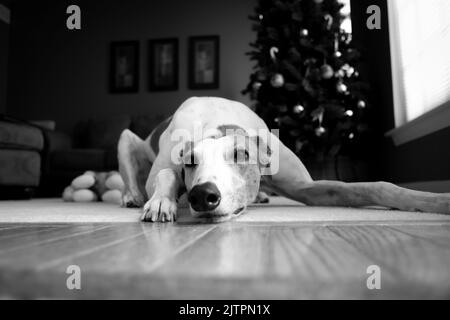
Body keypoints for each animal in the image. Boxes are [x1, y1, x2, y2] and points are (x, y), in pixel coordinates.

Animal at [117, 97, 450, 222]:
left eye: (242, 154)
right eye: (189, 162)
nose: (202, 195)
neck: (218, 122)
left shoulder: (307, 187)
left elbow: (375, 185)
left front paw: (437, 201)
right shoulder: (167, 165)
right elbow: (165, 176)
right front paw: (162, 201)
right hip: (125, 137)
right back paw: (132, 196)